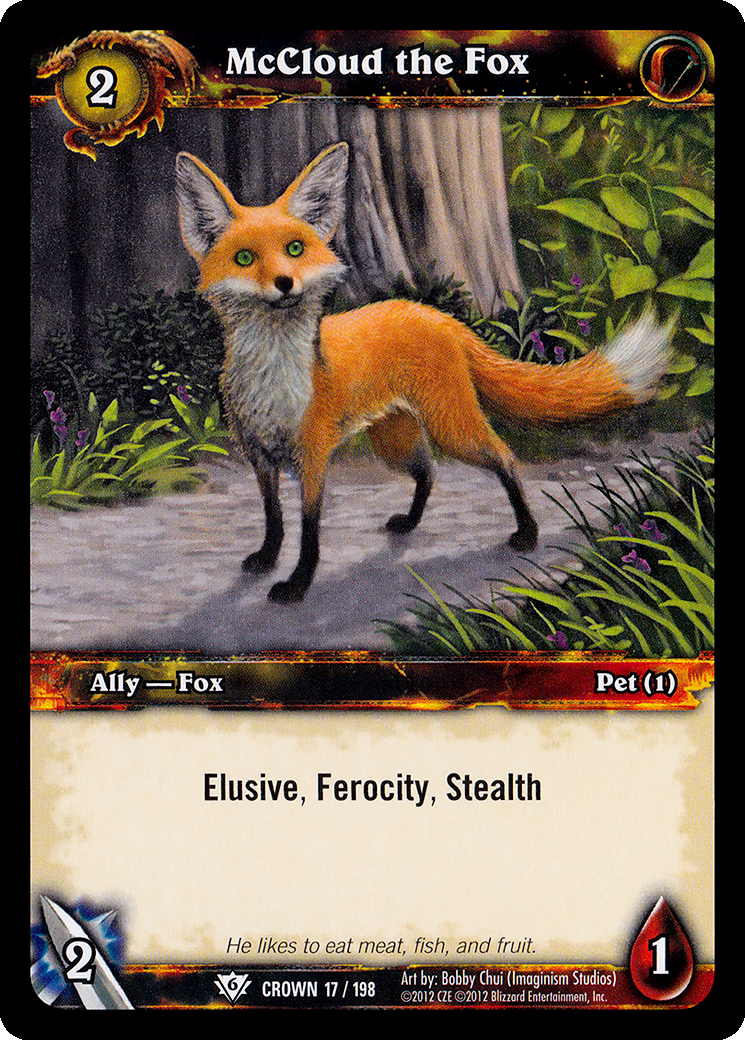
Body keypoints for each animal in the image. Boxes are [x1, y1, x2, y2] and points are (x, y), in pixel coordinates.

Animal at [175, 141, 673, 603]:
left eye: (295, 249)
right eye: (244, 258)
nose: (285, 284)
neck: (273, 379)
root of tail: (437, 315)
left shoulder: (312, 455)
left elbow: (309, 532)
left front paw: (297, 584)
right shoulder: (258, 456)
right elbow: (274, 520)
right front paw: (266, 559)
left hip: (451, 427)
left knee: (504, 457)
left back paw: (527, 533)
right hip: (394, 441)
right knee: (429, 472)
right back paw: (411, 523)